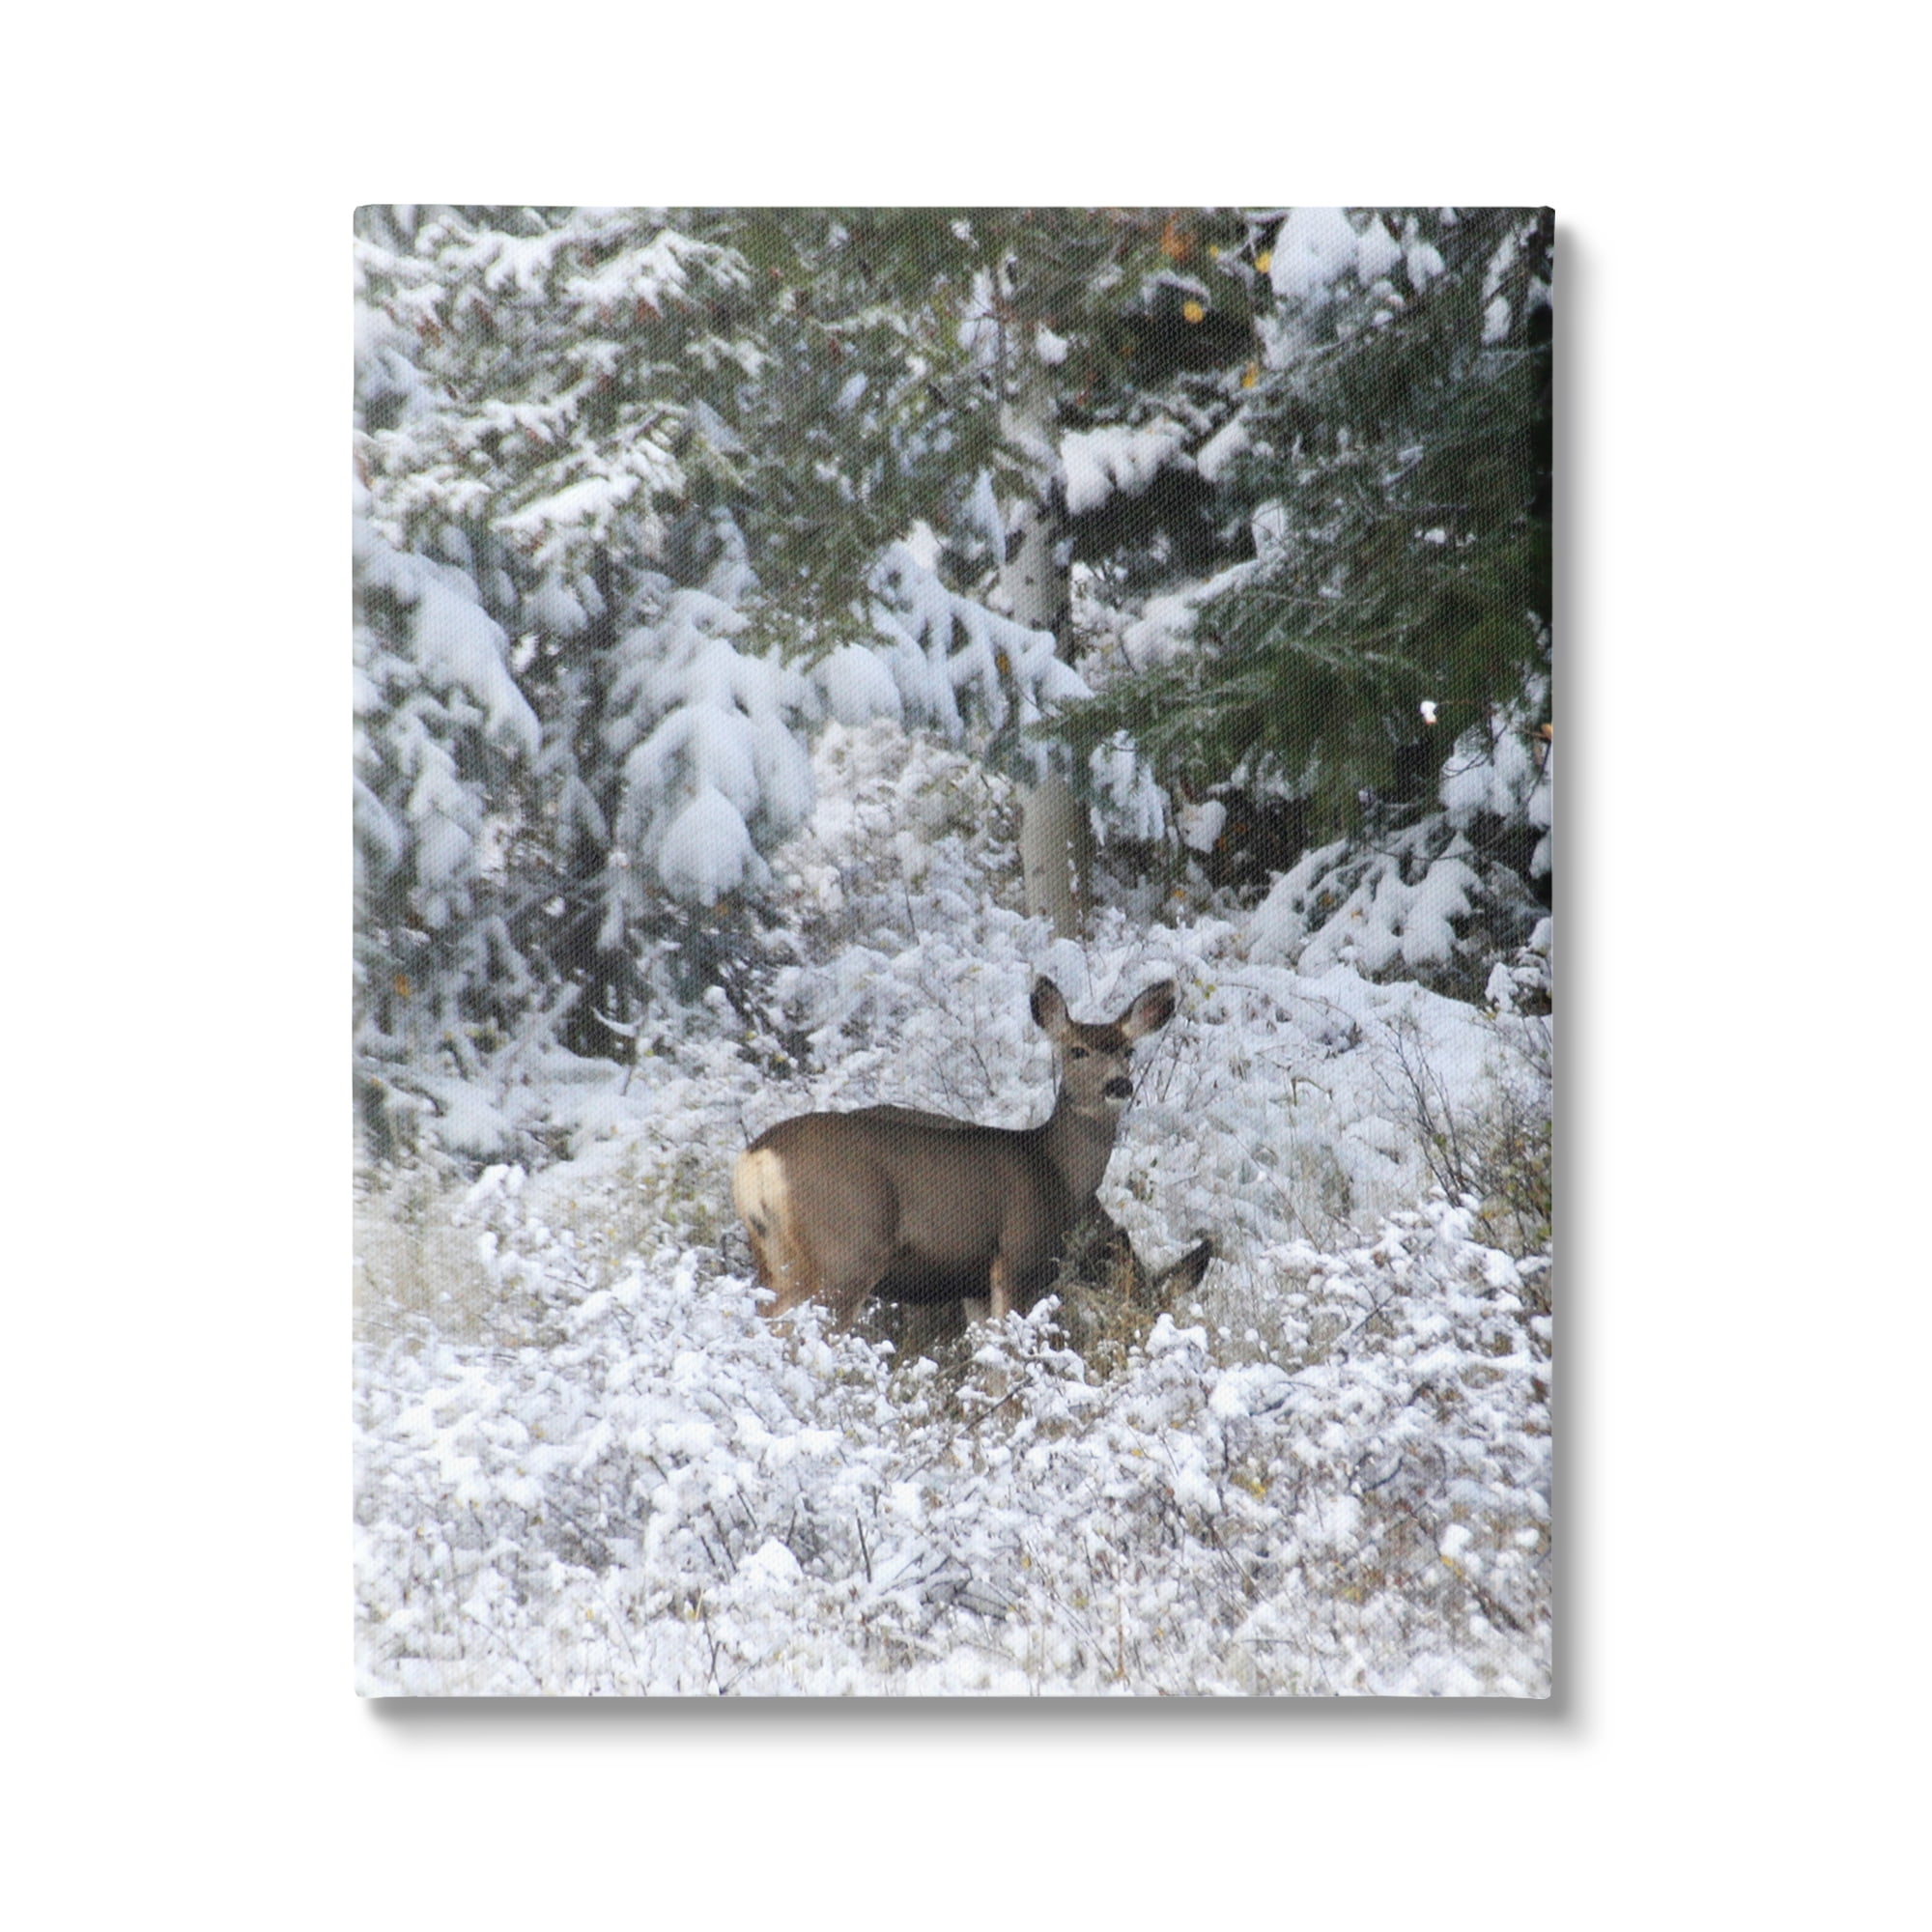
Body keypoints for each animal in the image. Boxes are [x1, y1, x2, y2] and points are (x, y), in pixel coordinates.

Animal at [732, 977, 1178, 1330]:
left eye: (1129, 1051)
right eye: (1078, 1050)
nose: (1119, 1085)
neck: (1057, 1172)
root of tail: (758, 1157)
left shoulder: (973, 1285)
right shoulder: (1016, 1257)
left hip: (775, 1257)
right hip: (846, 1249)